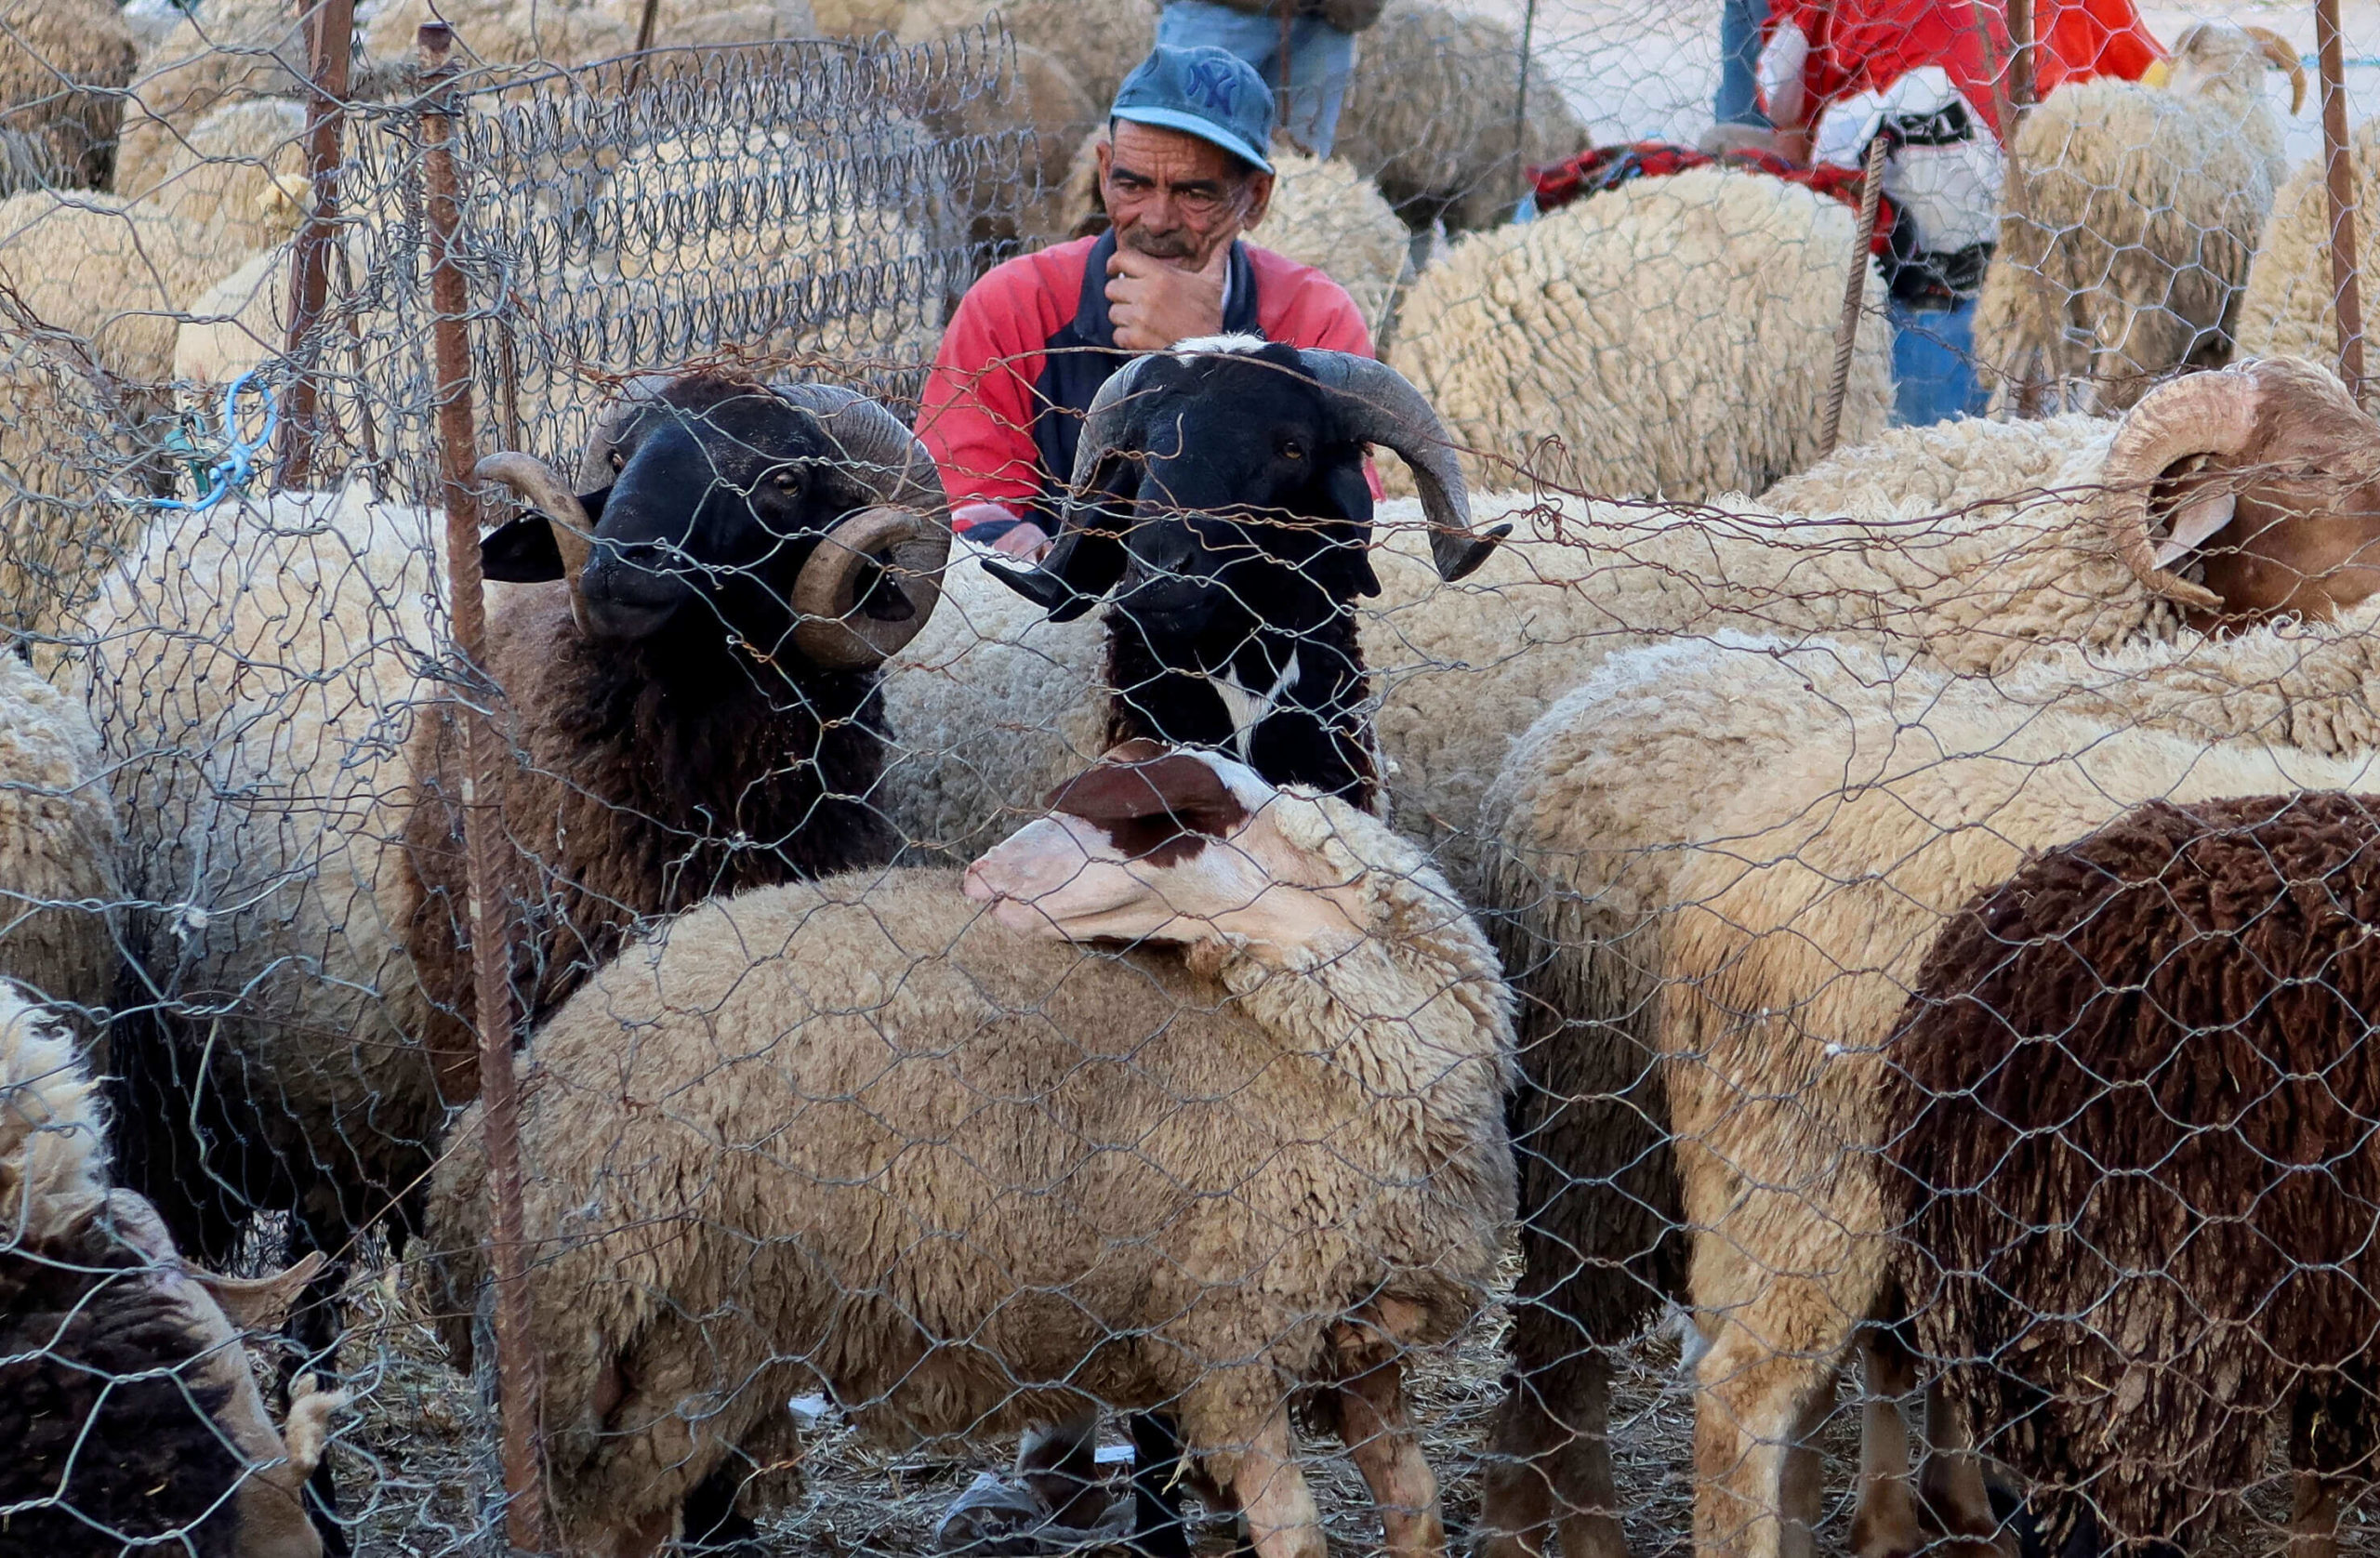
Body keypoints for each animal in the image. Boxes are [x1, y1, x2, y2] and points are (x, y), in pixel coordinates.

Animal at [423, 742, 1503, 1558]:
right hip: (696, 1337)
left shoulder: (1360, 1340)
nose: (979, 880)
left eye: (1151, 820)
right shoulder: (1228, 1339)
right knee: (601, 1525)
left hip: (656, 1351)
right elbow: (1297, 1532)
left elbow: (1415, 1507)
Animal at [1970, 21, 2304, 411]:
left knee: (2011, 365)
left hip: (2026, 271)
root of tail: (2057, 149)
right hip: (2130, 286)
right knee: (2101, 382)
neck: (2224, 94)